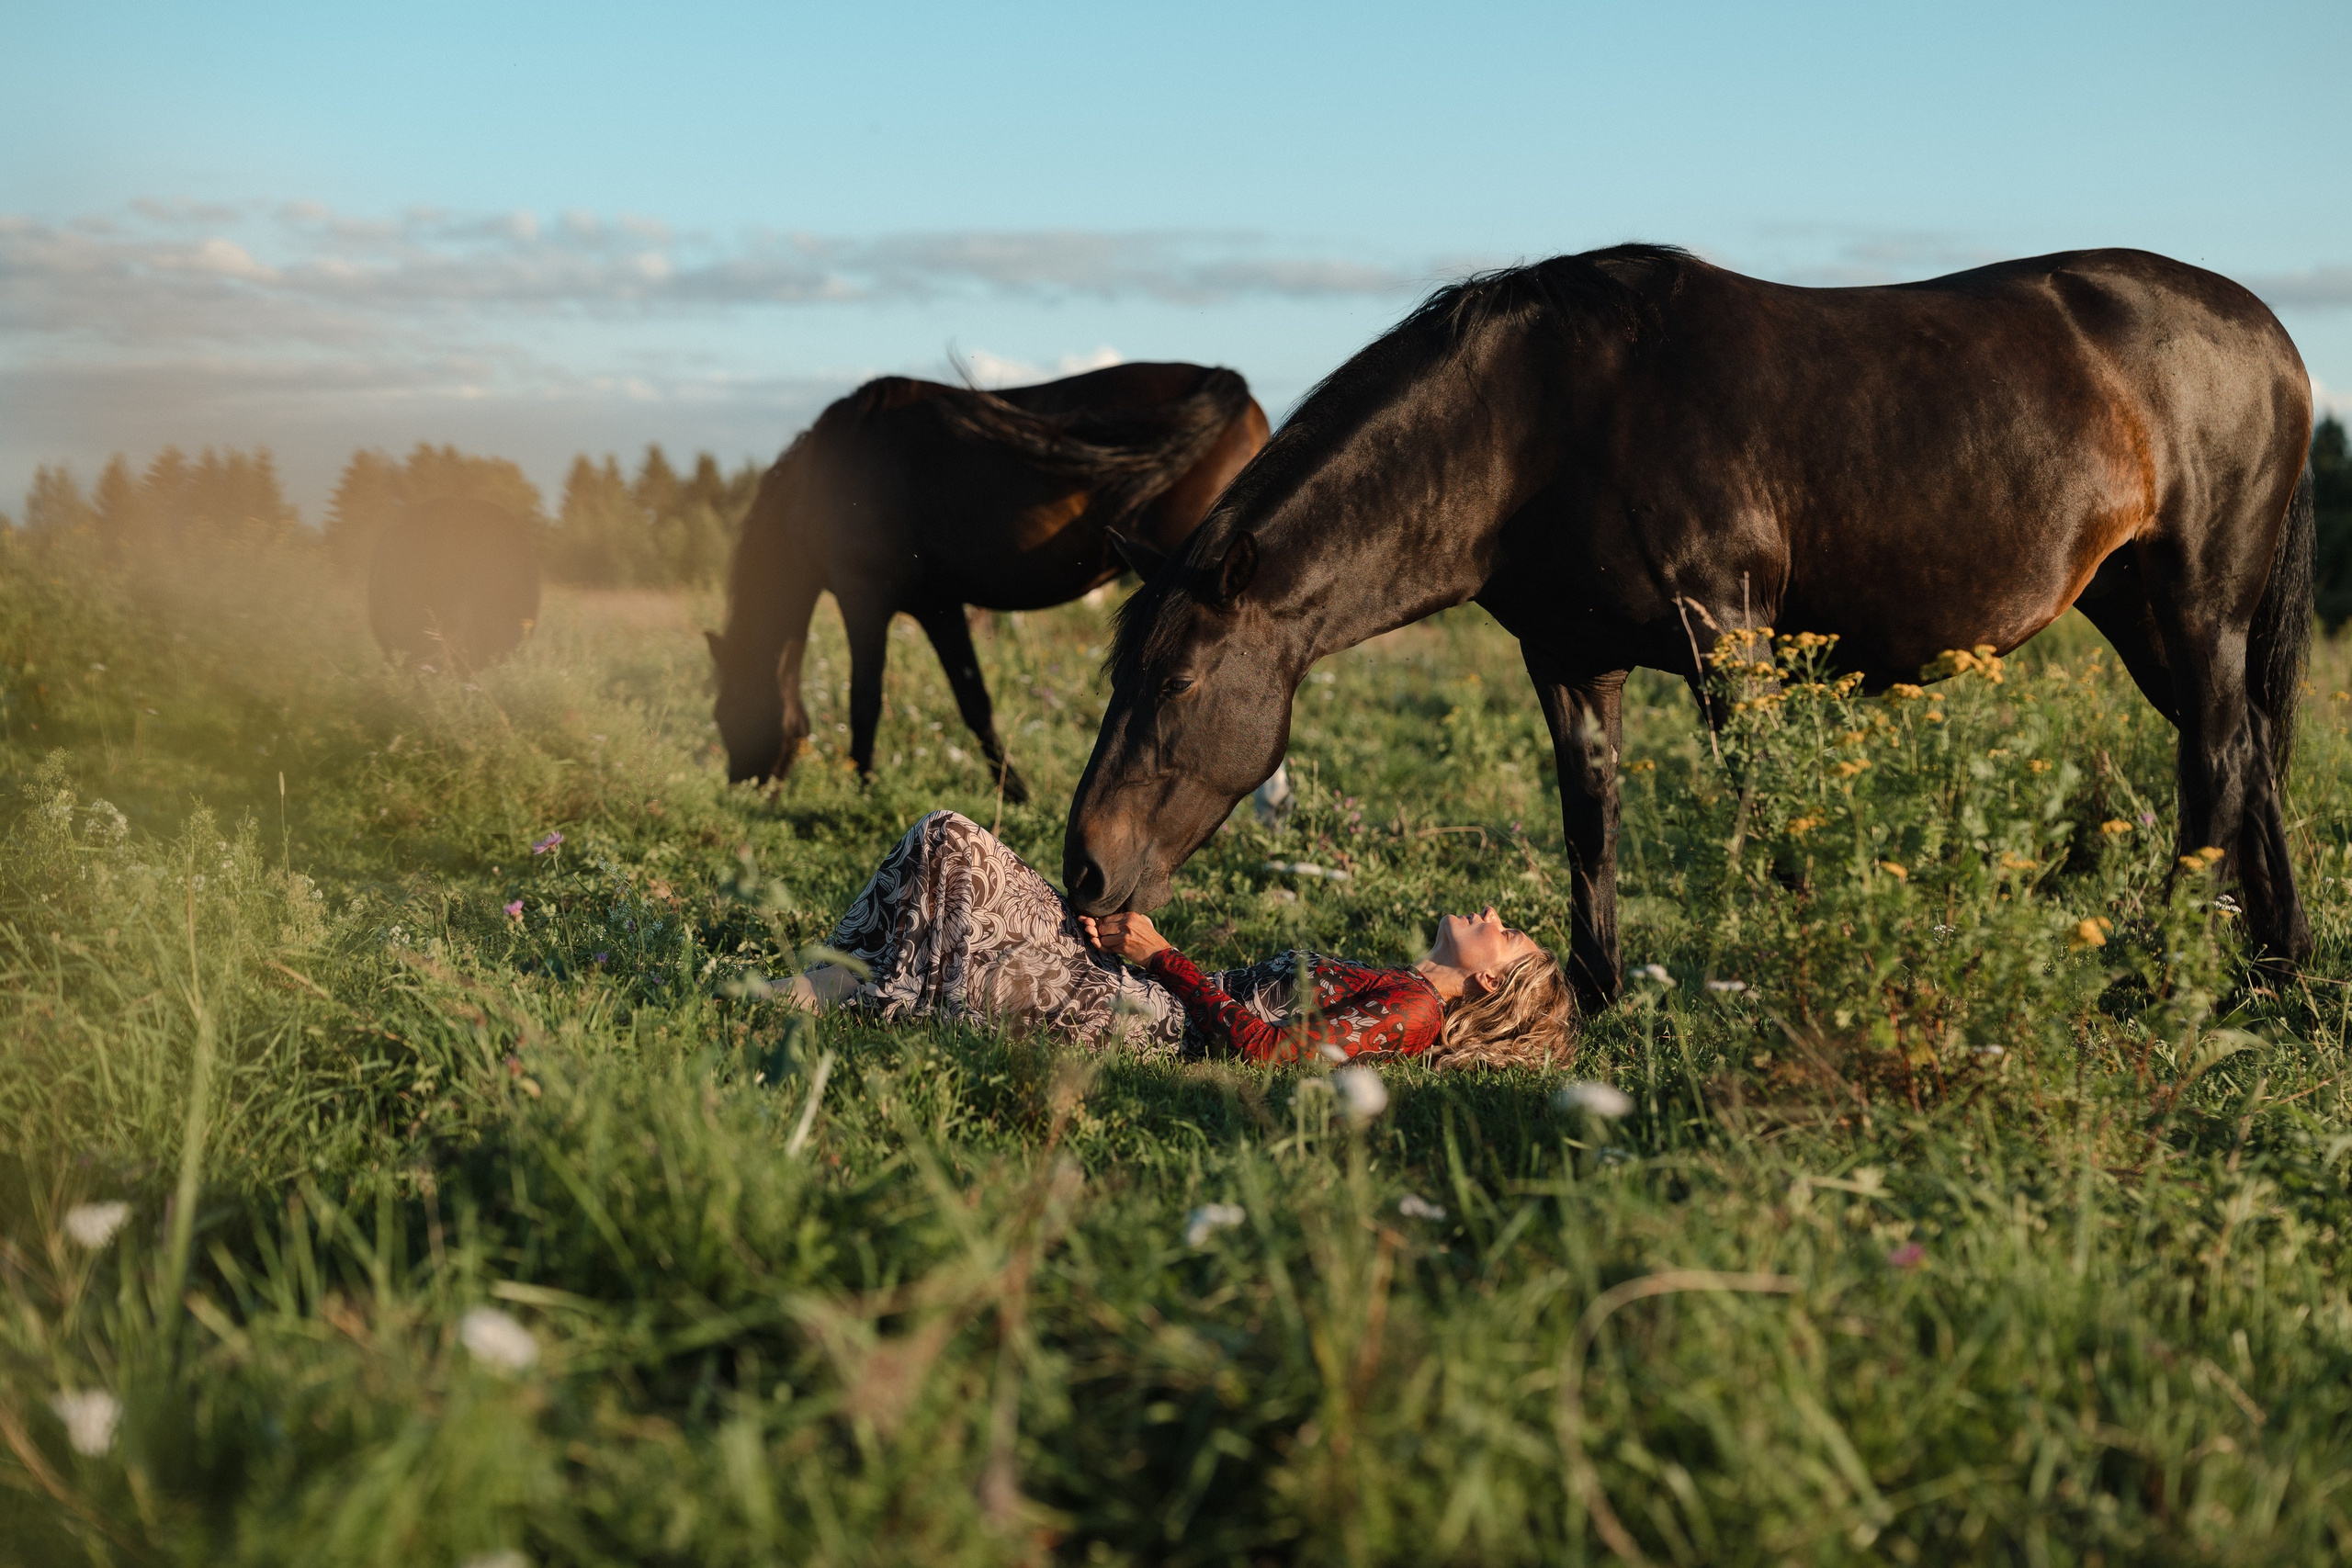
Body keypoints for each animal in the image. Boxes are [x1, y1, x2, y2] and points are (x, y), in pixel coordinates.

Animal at [707, 362, 1268, 801]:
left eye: (723, 712)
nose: (742, 789)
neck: (823, 479)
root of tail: (1234, 388)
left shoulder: (862, 596)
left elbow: (864, 699)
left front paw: (862, 788)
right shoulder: (938, 606)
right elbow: (974, 701)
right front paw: (1015, 794)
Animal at [1066, 244, 2316, 1014]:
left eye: (1176, 683)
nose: (1084, 870)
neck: (1534, 424)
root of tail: (2274, 338)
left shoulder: (1730, 641)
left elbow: (1779, 820)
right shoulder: (1570, 660)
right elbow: (1590, 822)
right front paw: (1597, 993)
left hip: (2196, 607)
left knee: (2214, 770)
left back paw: (2162, 974)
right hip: (2142, 613)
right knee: (2250, 761)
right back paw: (2278, 976)